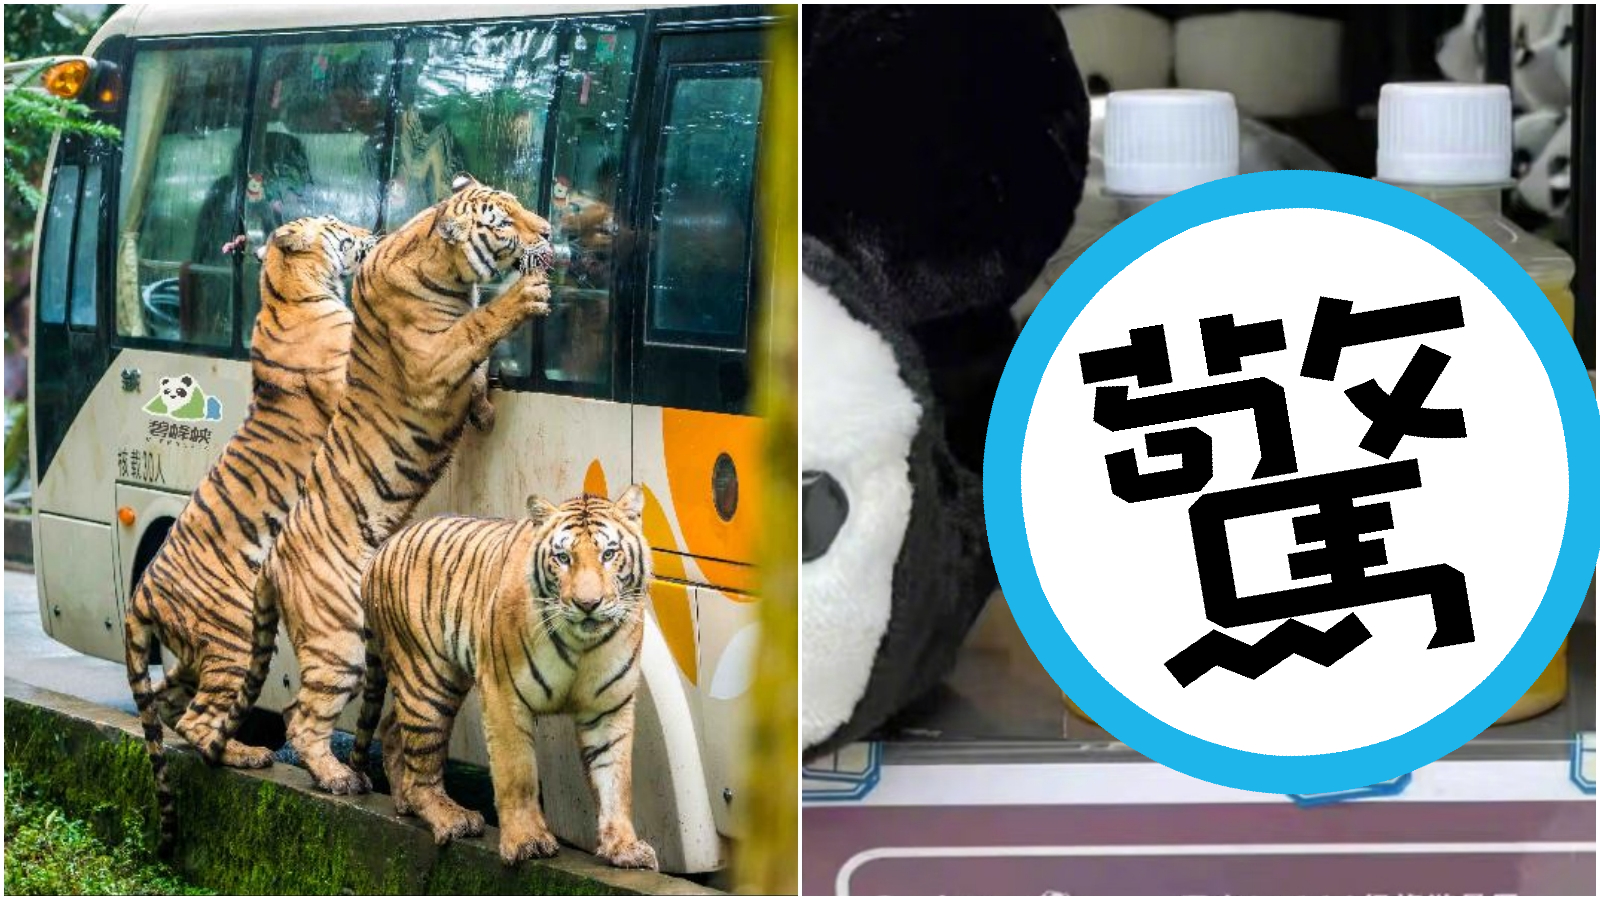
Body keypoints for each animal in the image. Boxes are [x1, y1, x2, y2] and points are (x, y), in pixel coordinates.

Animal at [123, 216, 377, 856]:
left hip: (201, 651)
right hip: (234, 638)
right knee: (197, 720)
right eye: (338, 228)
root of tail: (140, 595)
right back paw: (249, 755)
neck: (285, 292)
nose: (370, 231)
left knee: (171, 707)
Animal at [252, 173, 555, 796]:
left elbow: (479, 372)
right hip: (339, 639)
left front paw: (484, 409)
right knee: (302, 718)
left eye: (518, 203)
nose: (548, 231)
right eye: (505, 221)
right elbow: (479, 329)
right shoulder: (433, 359)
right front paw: (525, 296)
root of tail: (272, 560)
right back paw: (339, 777)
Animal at [351, 487, 657, 870]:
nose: (588, 604)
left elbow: (615, 778)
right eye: (563, 557)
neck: (582, 645)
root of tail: (381, 550)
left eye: (609, 554)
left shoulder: (609, 707)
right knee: (422, 762)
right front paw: (527, 841)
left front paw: (624, 847)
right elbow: (517, 773)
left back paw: (404, 801)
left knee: (392, 728)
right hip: (428, 680)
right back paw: (452, 818)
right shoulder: (503, 693)